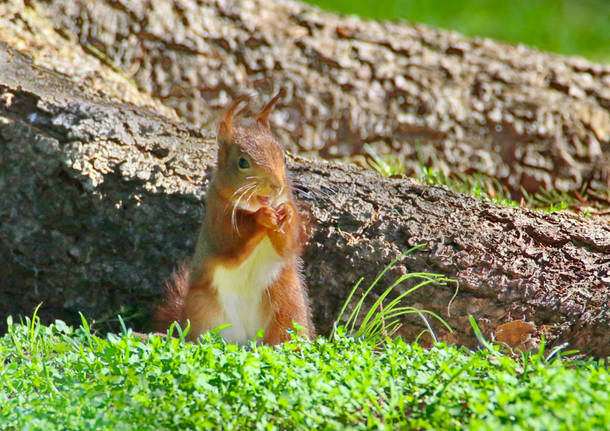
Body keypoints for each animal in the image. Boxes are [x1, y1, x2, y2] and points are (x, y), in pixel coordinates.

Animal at [154, 93, 312, 346]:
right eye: (242, 162)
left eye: (284, 157)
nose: (277, 186)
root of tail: (248, 339)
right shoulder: (218, 219)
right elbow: (231, 243)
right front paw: (262, 217)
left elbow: (287, 247)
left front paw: (286, 213)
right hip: (204, 310)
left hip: (287, 304)